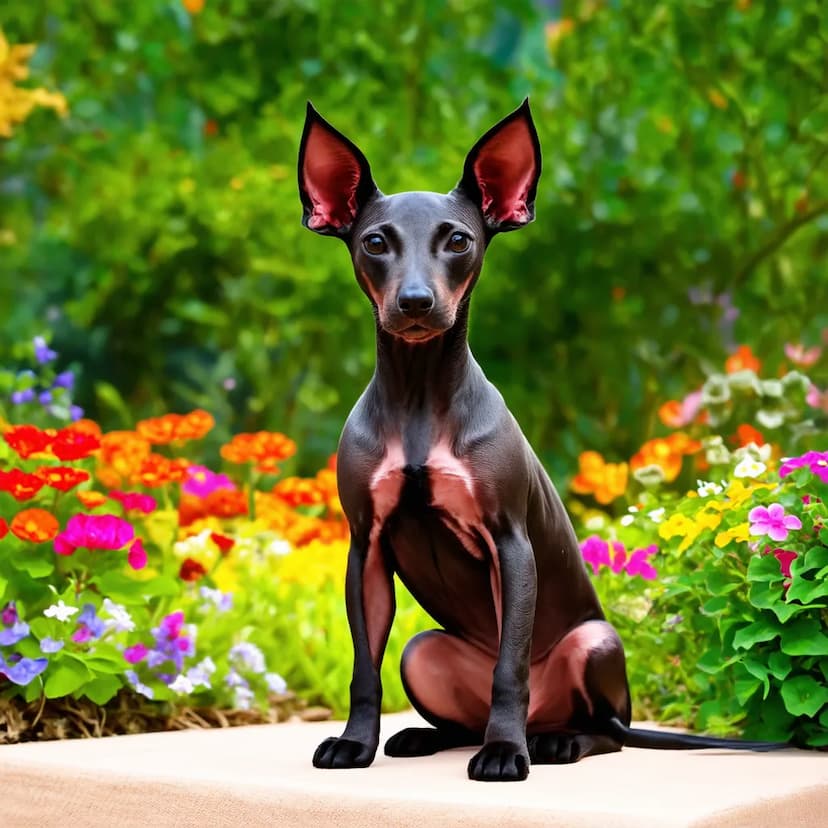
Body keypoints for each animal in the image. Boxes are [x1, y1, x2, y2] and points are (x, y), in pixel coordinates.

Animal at [296, 100, 784, 780]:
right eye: (374, 242)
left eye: (459, 240)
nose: (416, 302)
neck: (419, 398)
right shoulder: (365, 549)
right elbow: (364, 668)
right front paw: (355, 743)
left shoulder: (511, 543)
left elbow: (510, 670)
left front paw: (504, 755)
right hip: (422, 650)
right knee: (461, 719)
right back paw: (427, 736)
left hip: (593, 643)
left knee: (603, 730)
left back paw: (546, 743)